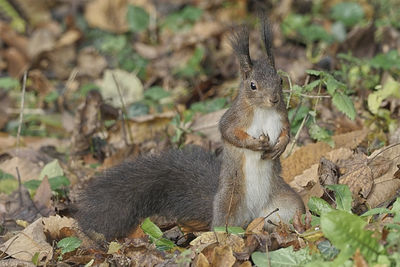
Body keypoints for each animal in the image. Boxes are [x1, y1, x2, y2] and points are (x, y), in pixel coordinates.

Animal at [75, 15, 304, 242]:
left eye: (280, 80)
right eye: (253, 85)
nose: (274, 99)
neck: (263, 110)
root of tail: (253, 216)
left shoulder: (281, 116)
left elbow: (287, 131)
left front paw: (280, 146)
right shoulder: (234, 118)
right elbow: (228, 133)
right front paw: (256, 144)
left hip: (286, 204)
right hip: (228, 203)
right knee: (221, 228)